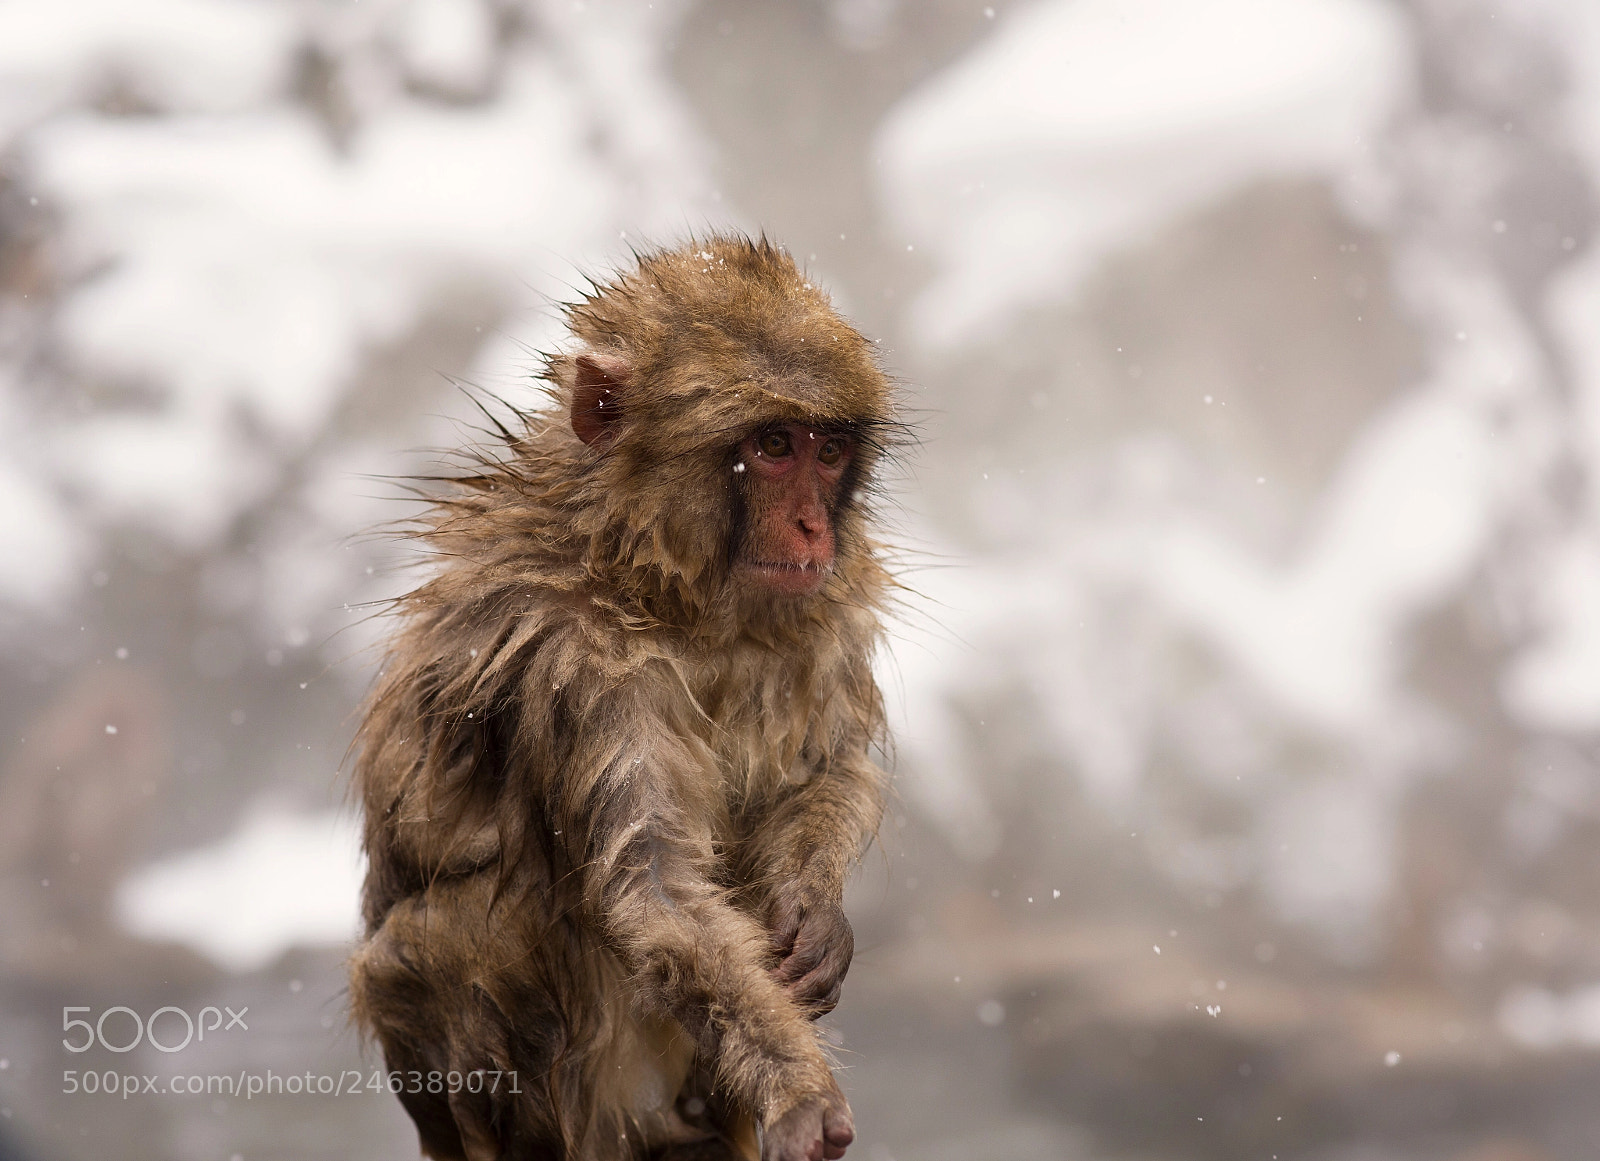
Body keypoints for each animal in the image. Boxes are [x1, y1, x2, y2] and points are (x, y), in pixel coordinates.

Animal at [347, 235, 899, 1161]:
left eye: (827, 451)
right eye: (774, 444)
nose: (814, 529)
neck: (656, 587)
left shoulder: (820, 612)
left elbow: (827, 770)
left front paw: (816, 916)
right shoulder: (578, 666)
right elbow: (654, 889)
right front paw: (797, 1087)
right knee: (475, 928)